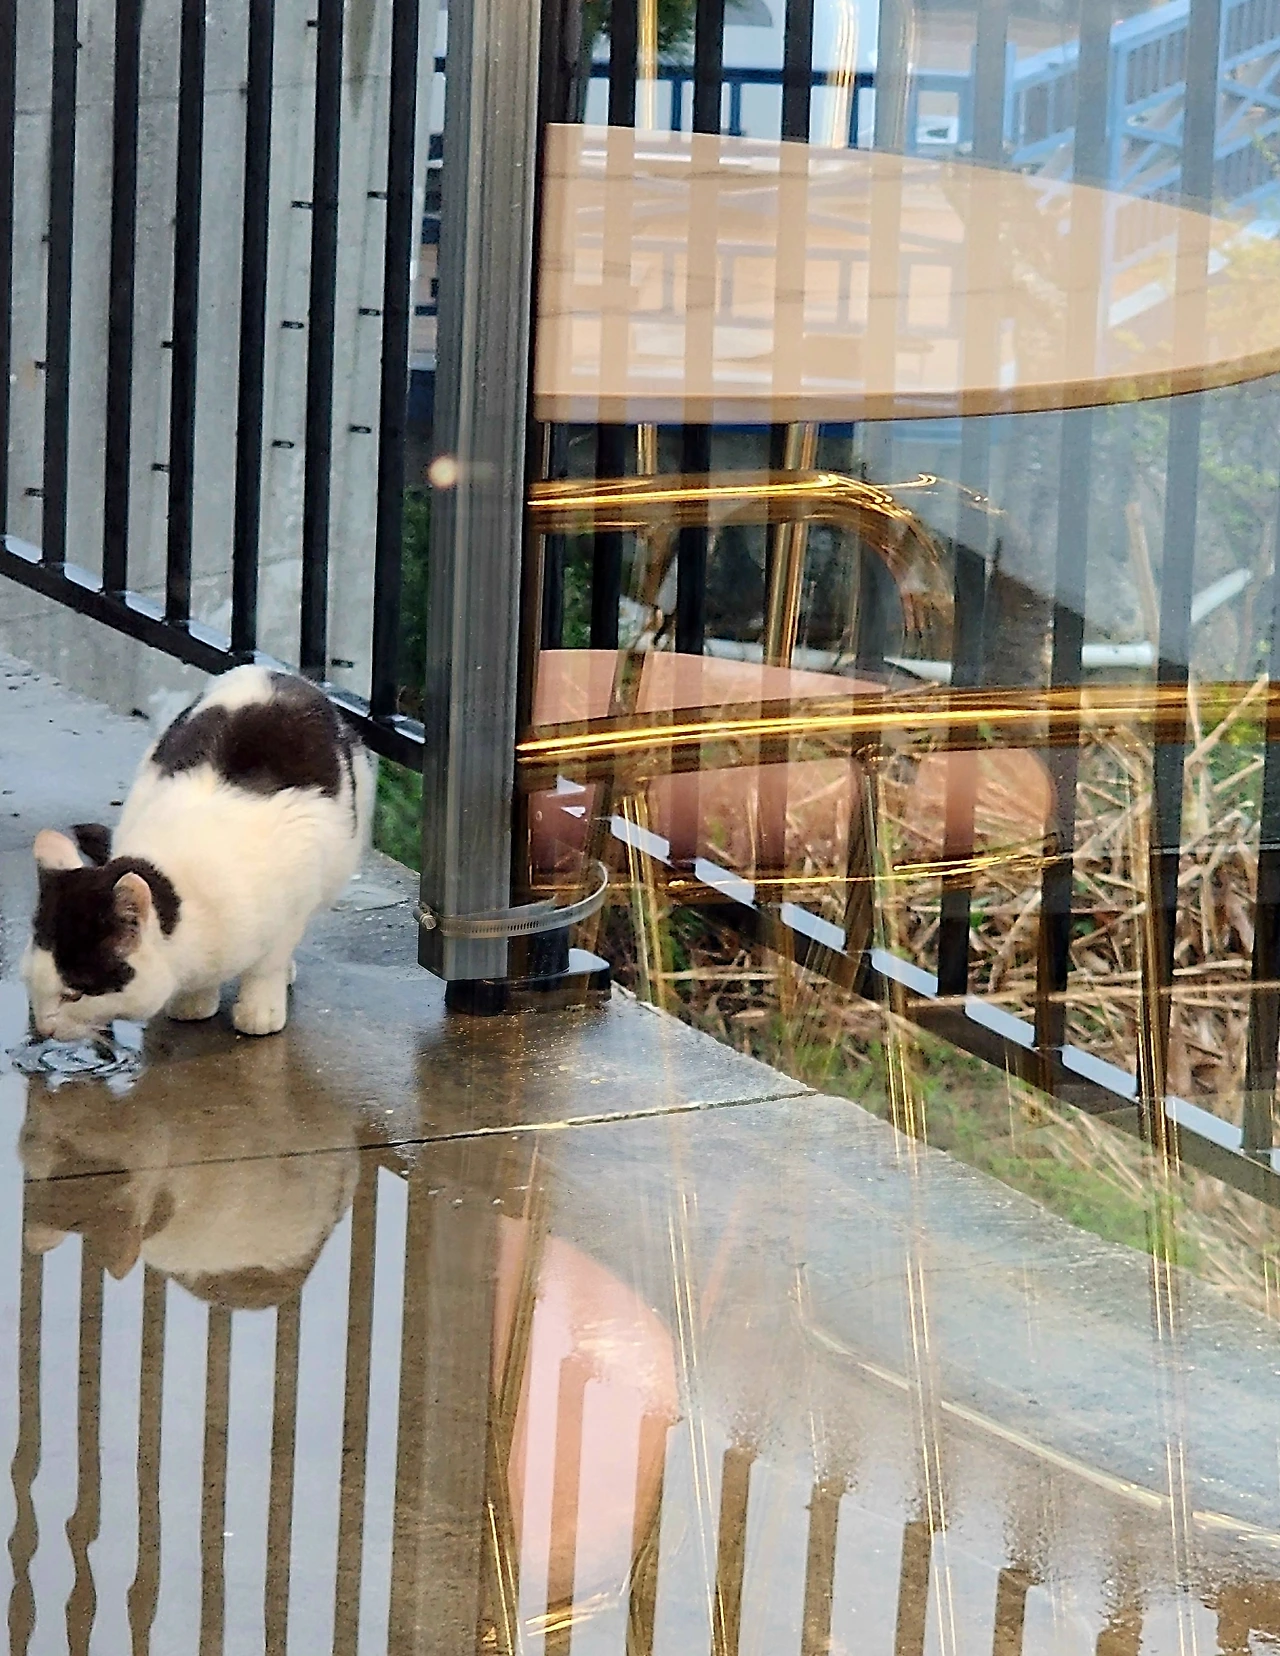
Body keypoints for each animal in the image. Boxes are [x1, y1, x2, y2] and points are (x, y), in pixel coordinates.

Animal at [23, 665, 372, 1040]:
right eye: (29, 979)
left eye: (74, 993)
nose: (43, 1028)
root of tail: (278, 673)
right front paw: (193, 1002)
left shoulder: (293, 900)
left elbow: (267, 966)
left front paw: (259, 1011)